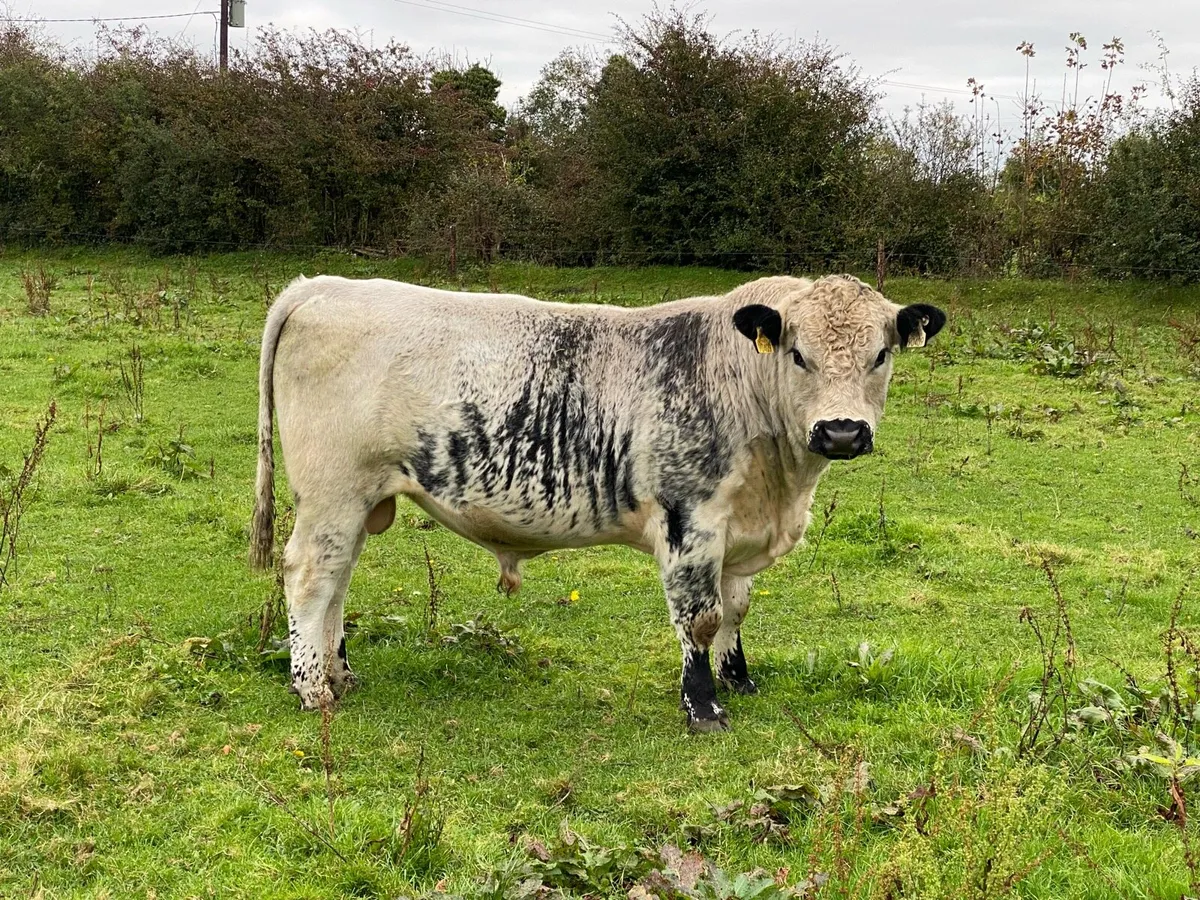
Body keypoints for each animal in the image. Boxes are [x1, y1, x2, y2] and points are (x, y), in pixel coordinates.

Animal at [249, 273, 945, 732]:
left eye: (880, 354)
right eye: (799, 354)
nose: (842, 432)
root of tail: (322, 285)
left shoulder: (740, 531)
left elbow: (738, 609)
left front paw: (740, 679)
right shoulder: (690, 519)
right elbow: (701, 619)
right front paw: (703, 707)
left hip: (358, 502)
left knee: (337, 581)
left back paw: (340, 674)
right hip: (333, 491)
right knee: (310, 576)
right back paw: (313, 688)